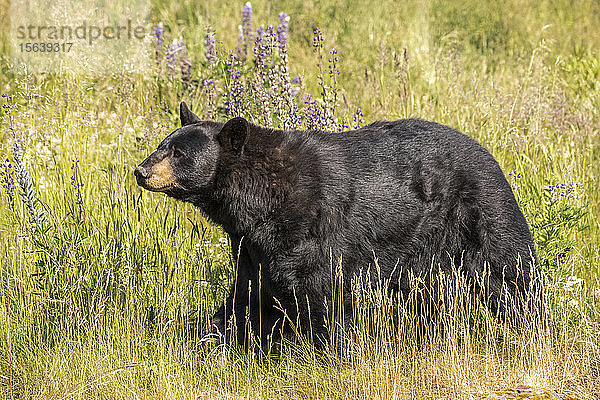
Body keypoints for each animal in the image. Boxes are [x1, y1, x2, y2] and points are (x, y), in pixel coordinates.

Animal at [135, 104, 544, 350]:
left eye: (178, 153)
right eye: (163, 144)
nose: (141, 171)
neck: (258, 200)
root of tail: (492, 157)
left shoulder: (311, 228)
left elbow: (322, 291)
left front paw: (335, 352)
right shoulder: (254, 246)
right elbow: (247, 296)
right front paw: (210, 344)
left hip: (480, 215)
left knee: (511, 273)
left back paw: (533, 328)